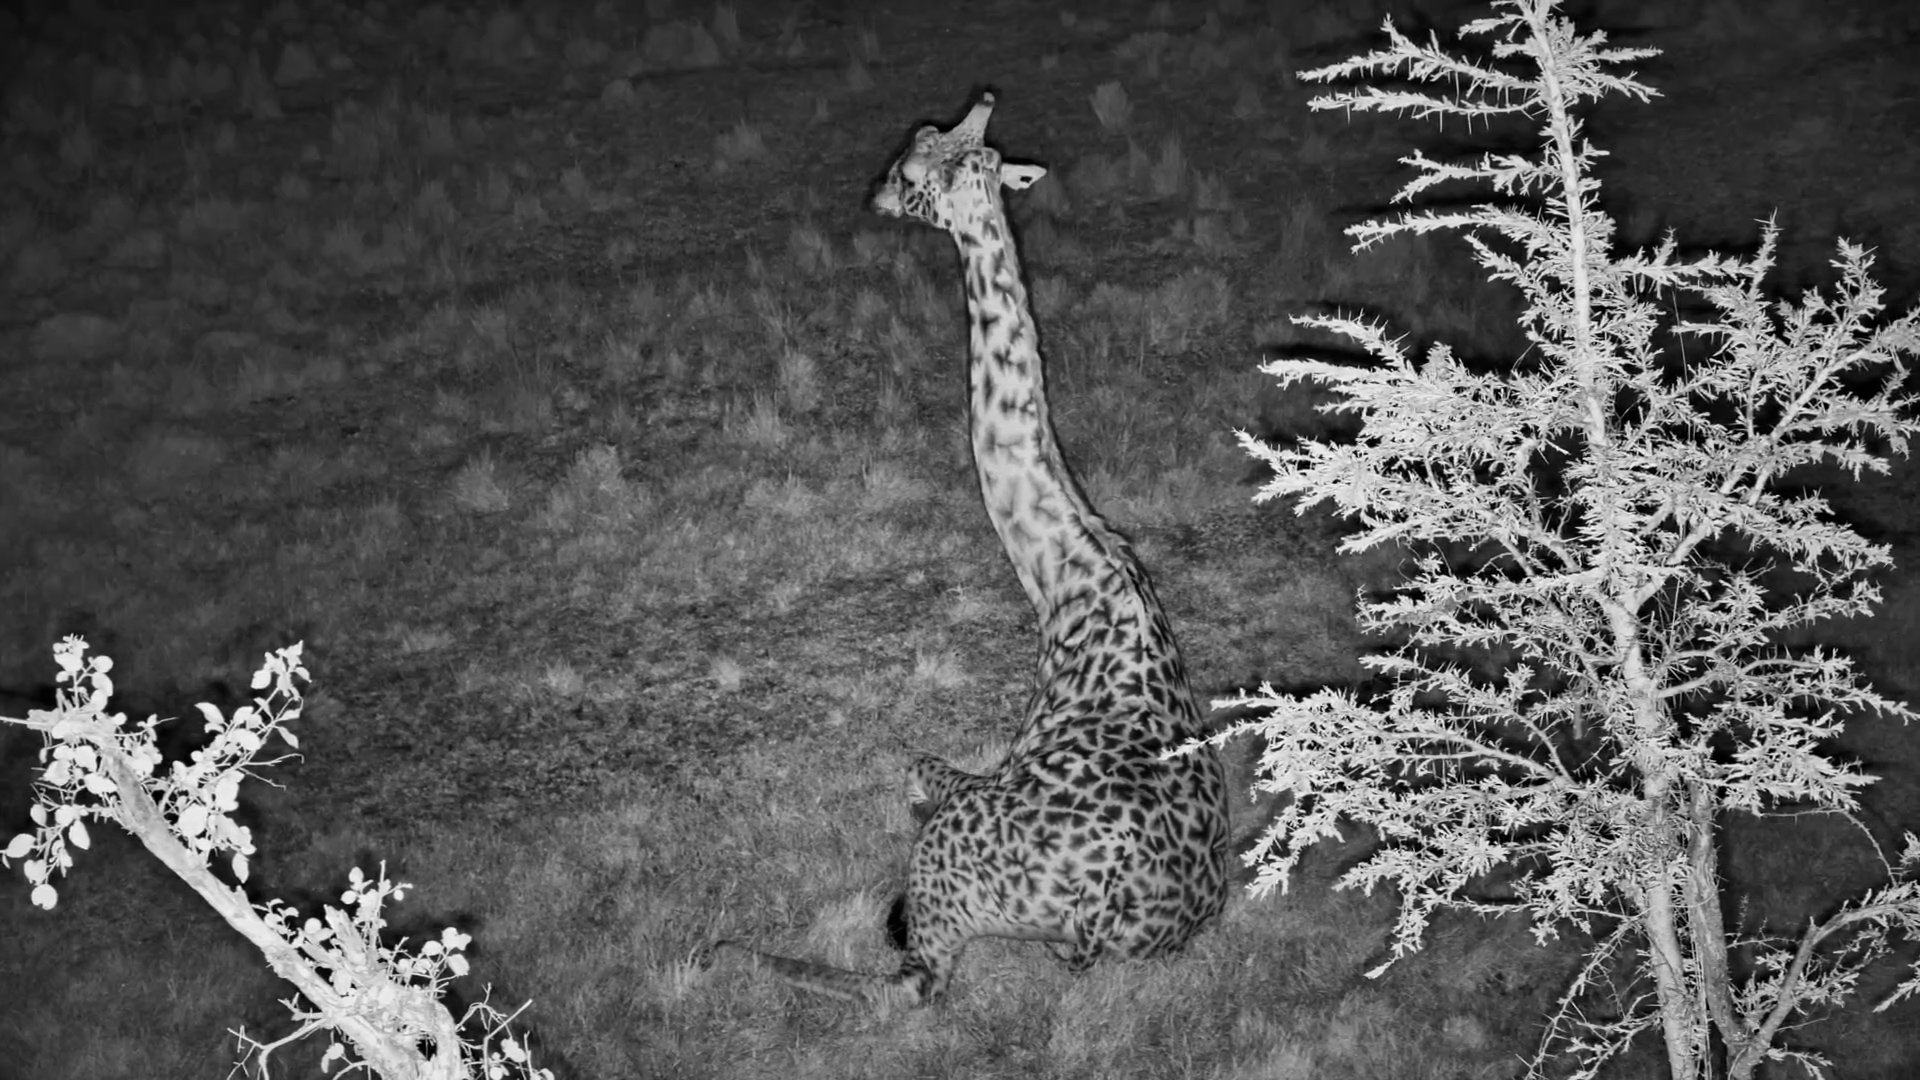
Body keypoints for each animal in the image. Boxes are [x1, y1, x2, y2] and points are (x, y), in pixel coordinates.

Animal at [709, 92, 1230, 1007]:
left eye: (911, 171)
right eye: (924, 141)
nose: (874, 194)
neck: (1068, 575)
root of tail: (1114, 919)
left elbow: (908, 765)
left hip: (948, 879)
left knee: (903, 969)